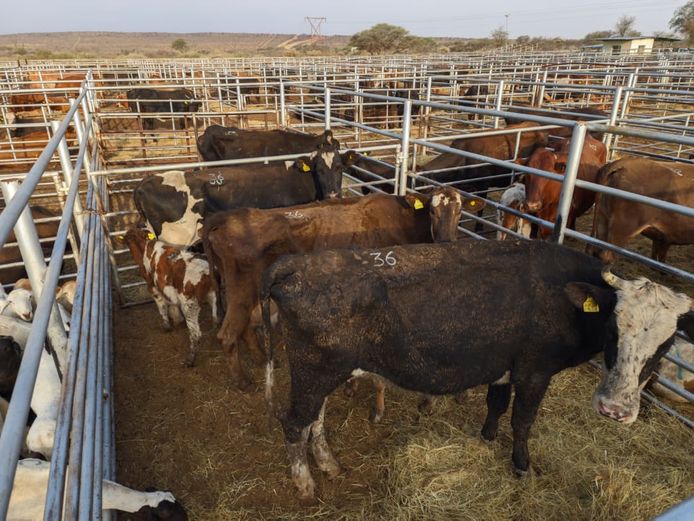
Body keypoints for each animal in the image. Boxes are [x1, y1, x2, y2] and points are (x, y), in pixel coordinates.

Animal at [122, 228, 217, 367]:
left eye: (128, 241)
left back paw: (190, 359)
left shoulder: (152, 287)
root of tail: (204, 272)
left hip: (189, 305)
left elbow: (162, 307)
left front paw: (167, 325)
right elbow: (171, 303)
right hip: (213, 296)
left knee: (196, 334)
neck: (145, 248)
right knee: (216, 319)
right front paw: (177, 318)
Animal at [203, 188, 480, 391]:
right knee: (228, 334)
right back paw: (243, 381)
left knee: (245, 327)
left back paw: (261, 358)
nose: (446, 241)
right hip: (242, 289)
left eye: (460, 211)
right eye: (432, 211)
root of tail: (226, 217)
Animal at [260, 240, 693, 503]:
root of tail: (299, 263)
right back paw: (305, 484)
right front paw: (521, 465)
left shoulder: (504, 367)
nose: (614, 409)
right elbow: (522, 420)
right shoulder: (535, 372)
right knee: (293, 423)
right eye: (613, 328)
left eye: (666, 343)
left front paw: (486, 437)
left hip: (322, 375)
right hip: (315, 372)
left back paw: (329, 466)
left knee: (313, 421)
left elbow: (496, 405)